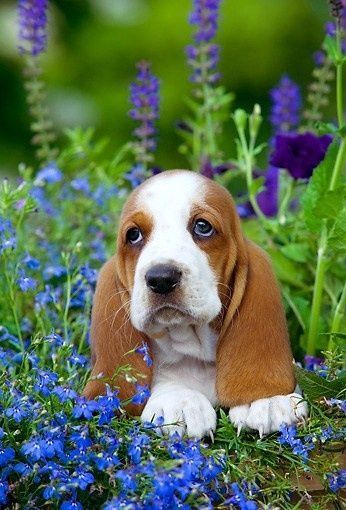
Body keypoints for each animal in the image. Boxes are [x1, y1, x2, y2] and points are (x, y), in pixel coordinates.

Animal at [84, 170, 308, 438]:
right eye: (133, 234)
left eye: (203, 227)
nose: (161, 278)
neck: (193, 353)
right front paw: (179, 400)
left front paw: (268, 398)